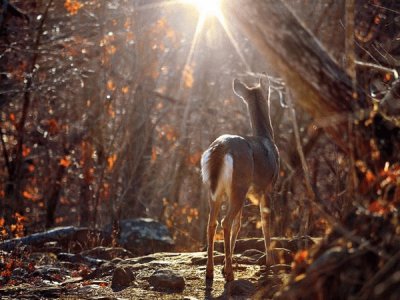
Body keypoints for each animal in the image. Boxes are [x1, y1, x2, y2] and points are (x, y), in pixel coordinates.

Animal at [200, 75, 282, 282]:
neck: (266, 137)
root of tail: (221, 148)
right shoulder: (268, 186)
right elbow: (265, 220)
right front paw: (269, 261)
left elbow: (239, 225)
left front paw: (223, 265)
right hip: (239, 183)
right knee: (225, 222)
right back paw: (230, 274)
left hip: (215, 189)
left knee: (212, 223)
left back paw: (210, 271)